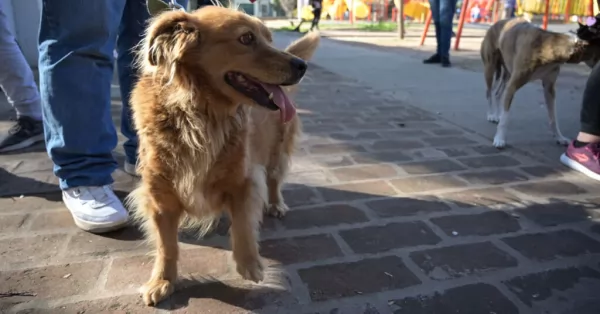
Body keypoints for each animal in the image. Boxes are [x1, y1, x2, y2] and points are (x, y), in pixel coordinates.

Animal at [126, 6, 318, 306]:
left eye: (269, 39)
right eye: (246, 38)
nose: (301, 66)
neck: (199, 114)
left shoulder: (244, 180)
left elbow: (242, 224)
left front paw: (249, 265)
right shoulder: (159, 197)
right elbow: (166, 245)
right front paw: (162, 281)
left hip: (276, 151)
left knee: (274, 180)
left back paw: (276, 204)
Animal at [480, 17, 600, 148]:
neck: (549, 46)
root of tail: (497, 23)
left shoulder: (549, 88)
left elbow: (553, 118)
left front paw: (559, 137)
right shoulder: (513, 85)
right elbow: (505, 119)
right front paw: (499, 139)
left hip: (507, 73)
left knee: (498, 93)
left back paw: (498, 114)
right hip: (490, 68)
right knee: (489, 92)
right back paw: (491, 115)